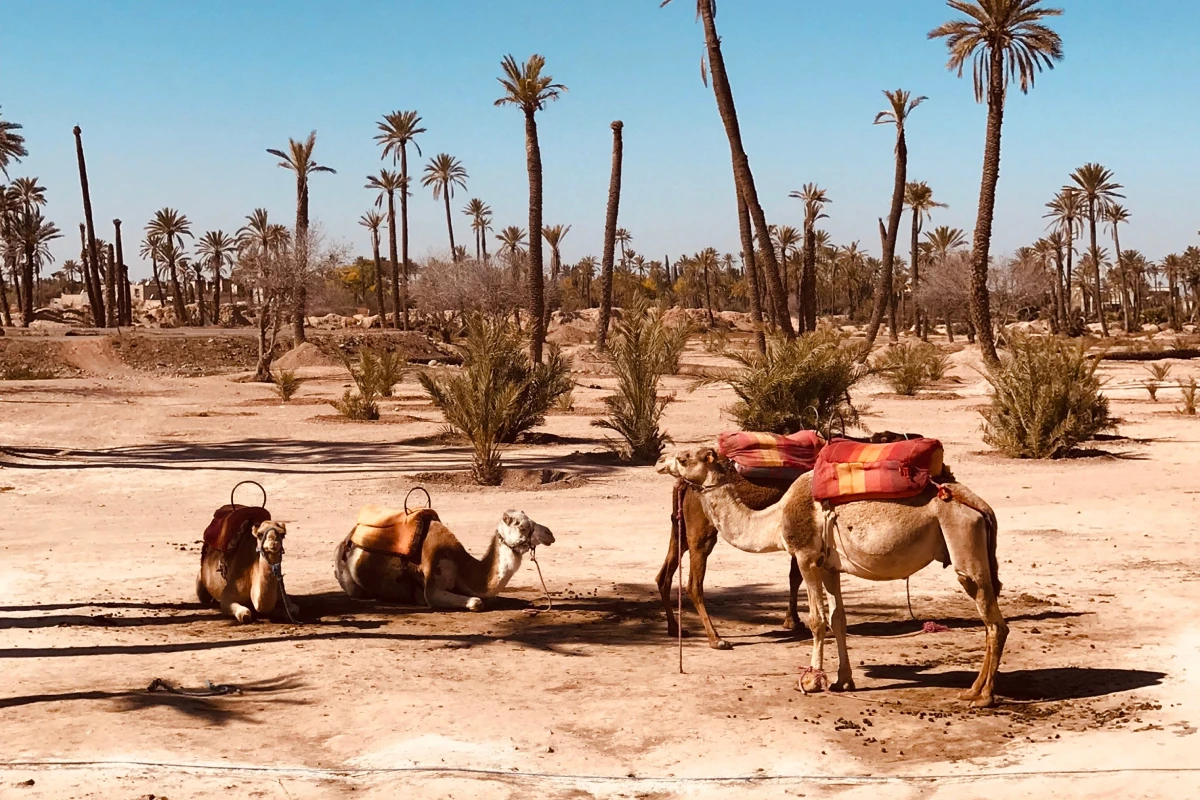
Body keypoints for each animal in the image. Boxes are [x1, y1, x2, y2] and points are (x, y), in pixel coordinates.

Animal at [334, 509, 554, 610]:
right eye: (522, 526)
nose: (549, 534)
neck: (461, 566)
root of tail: (345, 540)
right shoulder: (433, 586)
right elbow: (477, 602)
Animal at [656, 448, 1007, 708]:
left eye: (685, 457)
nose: (660, 461)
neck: (775, 519)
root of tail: (981, 506)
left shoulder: (806, 556)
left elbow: (817, 619)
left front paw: (812, 679)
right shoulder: (829, 566)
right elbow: (839, 619)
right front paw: (843, 680)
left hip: (962, 539)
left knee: (994, 623)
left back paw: (982, 696)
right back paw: (973, 689)